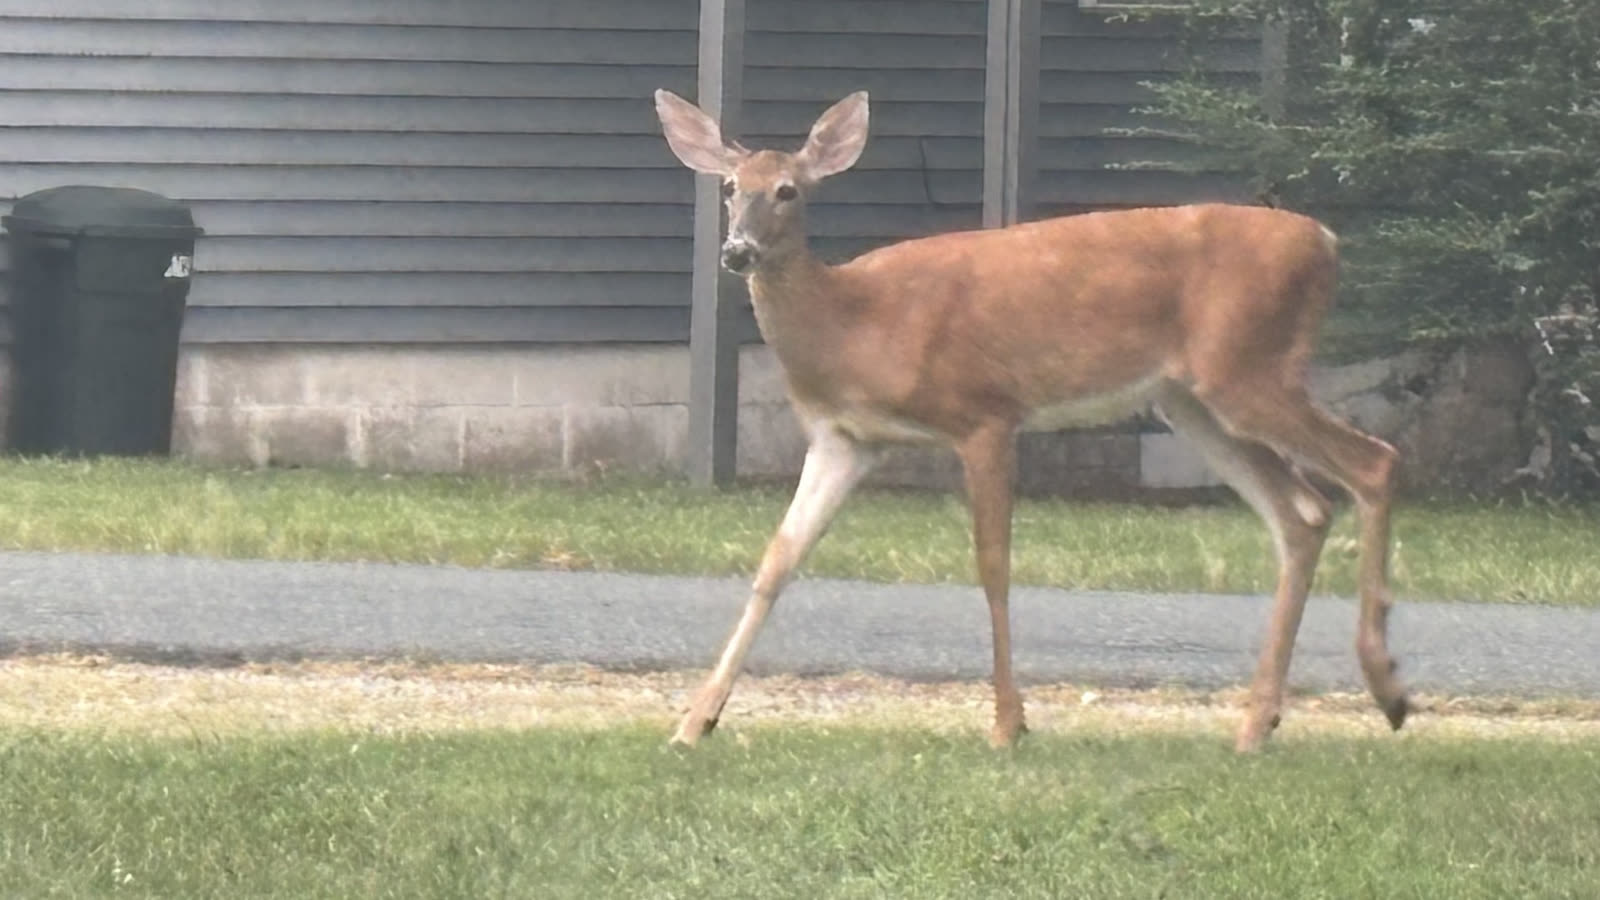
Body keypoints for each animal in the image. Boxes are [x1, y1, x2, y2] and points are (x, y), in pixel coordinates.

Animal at [654, 88, 1411, 753]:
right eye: (729, 186)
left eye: (788, 190)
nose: (737, 252)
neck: (856, 322)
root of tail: (1326, 240)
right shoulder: (846, 440)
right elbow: (777, 560)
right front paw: (696, 721)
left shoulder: (984, 412)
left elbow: (993, 565)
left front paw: (1008, 725)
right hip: (1193, 400)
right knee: (1303, 512)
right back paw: (1258, 725)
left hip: (1248, 369)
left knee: (1374, 461)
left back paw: (1387, 688)